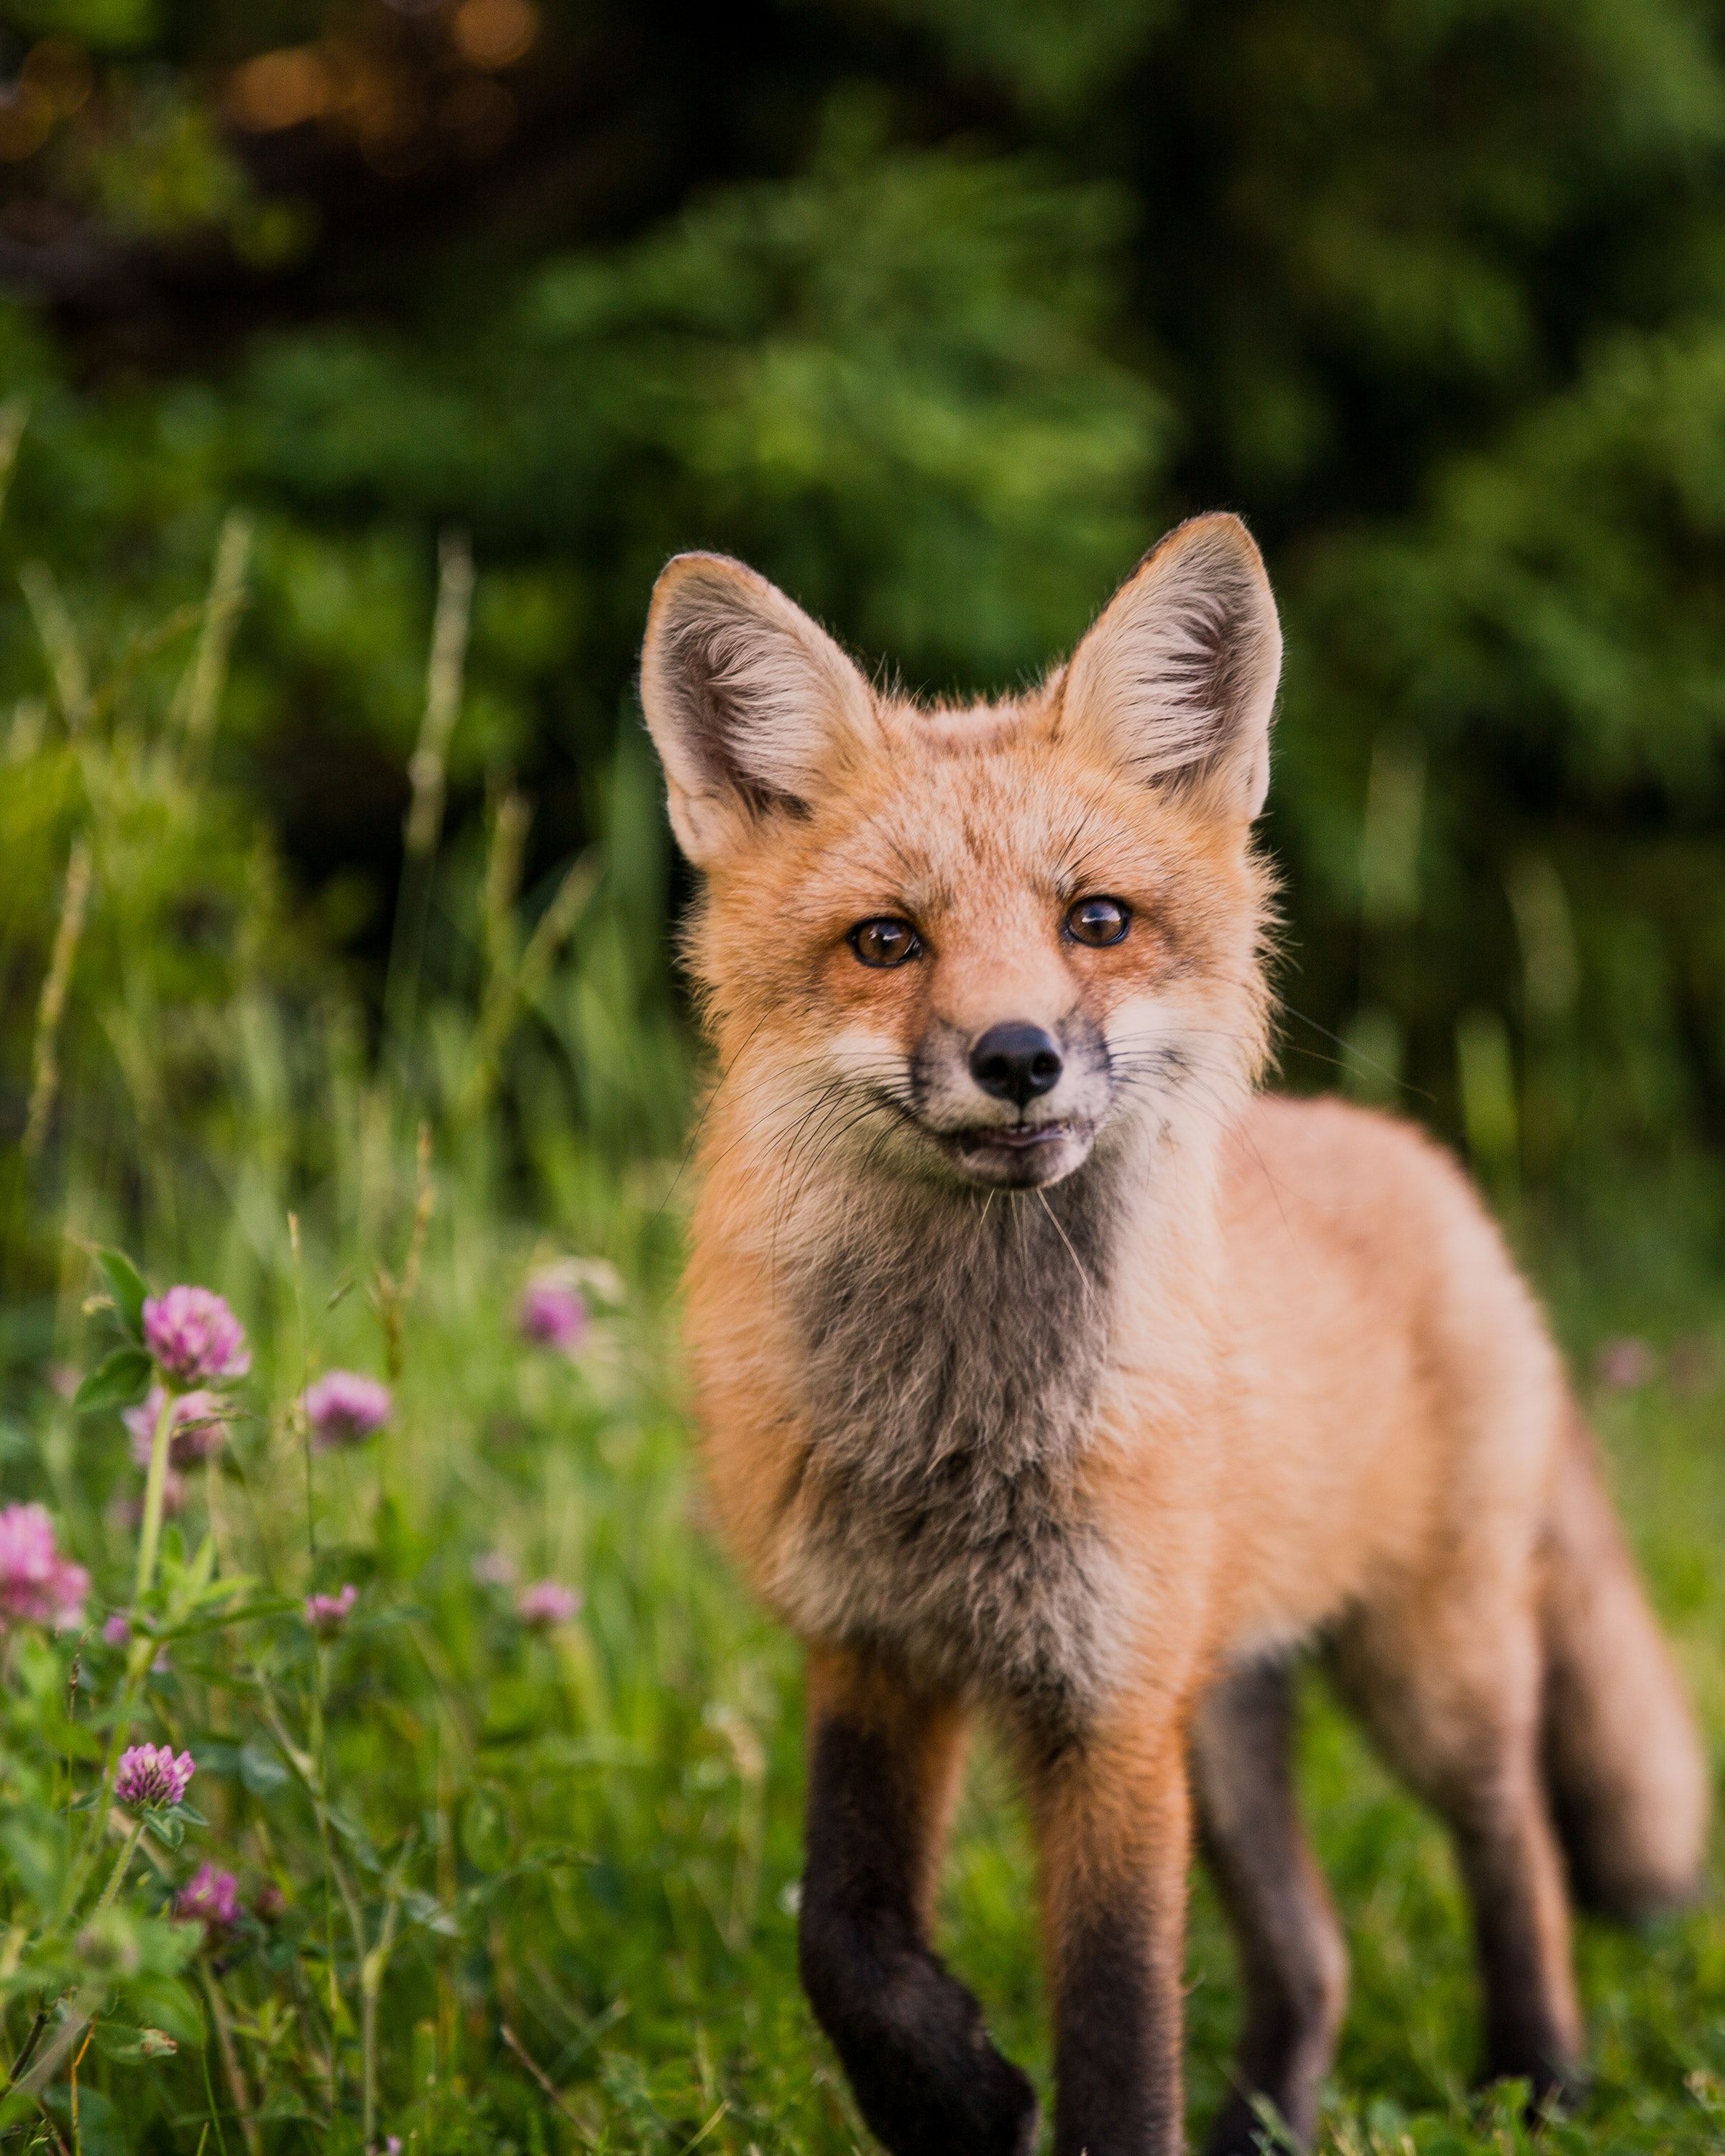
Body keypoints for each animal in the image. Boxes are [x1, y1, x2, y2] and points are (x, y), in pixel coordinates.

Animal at [637, 513, 1709, 2156]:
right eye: (886, 942)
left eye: (1097, 922)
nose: (1017, 1056)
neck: (965, 1435)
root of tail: (1427, 1166)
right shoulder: (875, 1649)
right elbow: (844, 1937)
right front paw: (952, 2096)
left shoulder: (1109, 1708)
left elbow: (1120, 2027)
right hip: (1230, 1715)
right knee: (1319, 1952)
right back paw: (1273, 2117)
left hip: (1427, 1673)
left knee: (1515, 1837)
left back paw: (1540, 2078)